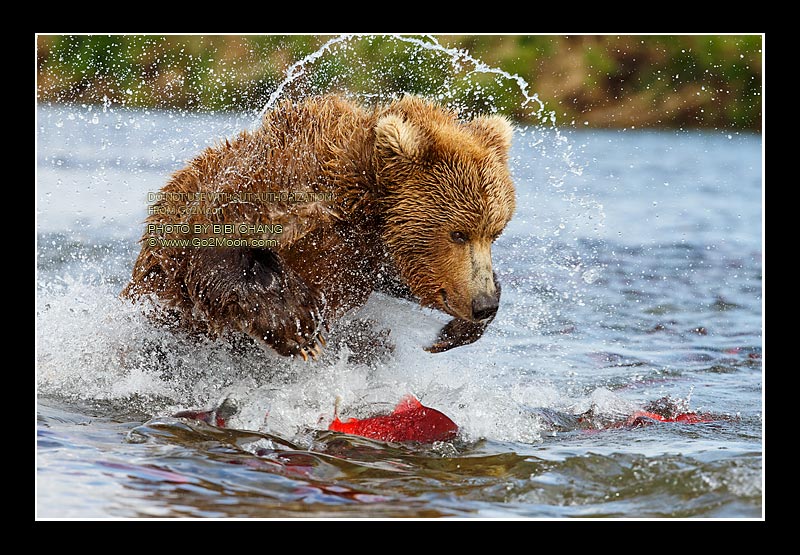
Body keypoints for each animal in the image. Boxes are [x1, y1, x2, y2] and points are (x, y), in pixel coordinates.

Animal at [122, 94, 516, 360]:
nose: (483, 305)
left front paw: (453, 331)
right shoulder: (276, 193)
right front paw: (300, 328)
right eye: (457, 233)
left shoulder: (368, 252)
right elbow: (216, 252)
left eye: (493, 232)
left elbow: (398, 275)